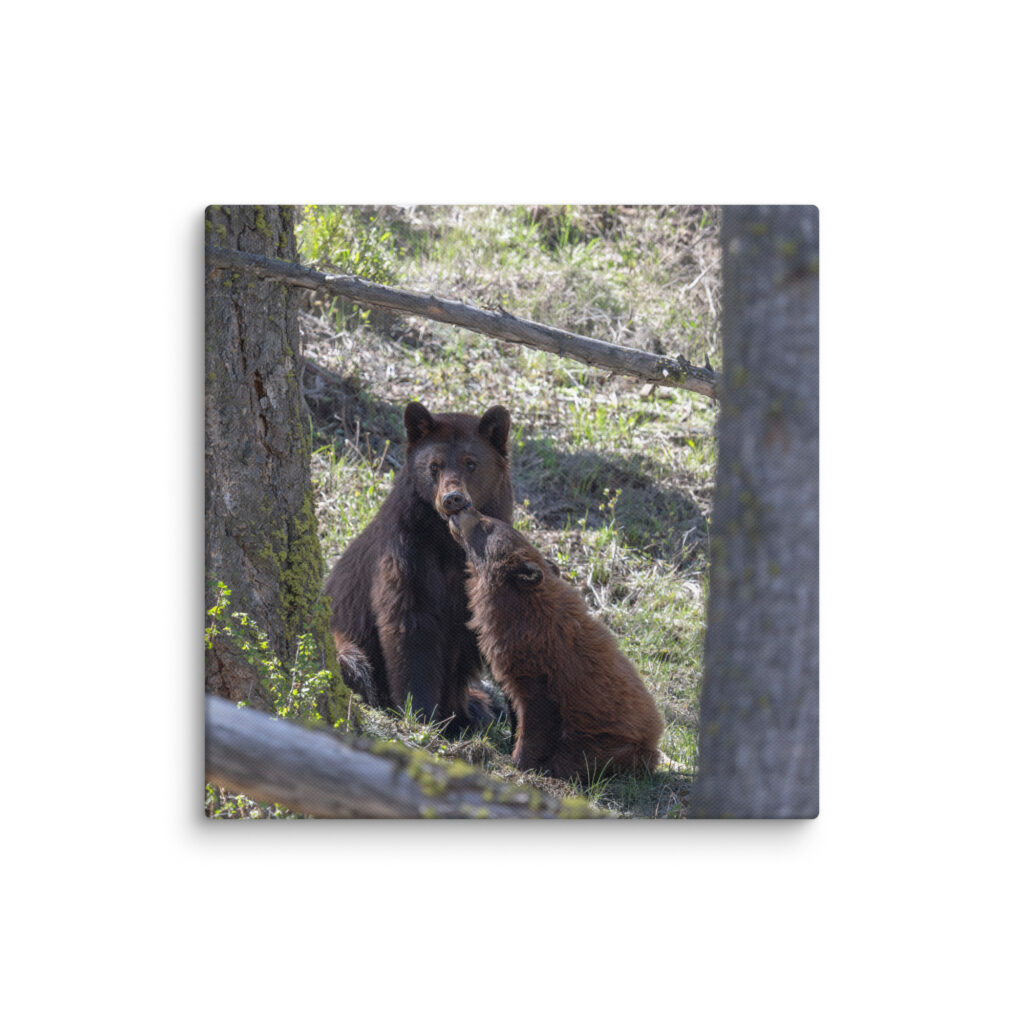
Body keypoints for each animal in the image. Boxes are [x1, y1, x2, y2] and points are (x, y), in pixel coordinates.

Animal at [324, 401, 514, 735]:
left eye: (471, 463)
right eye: (434, 466)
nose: (453, 498)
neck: (449, 542)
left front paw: (460, 713)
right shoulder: (406, 552)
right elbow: (409, 625)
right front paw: (422, 712)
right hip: (343, 639)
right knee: (354, 662)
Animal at [447, 504, 664, 780]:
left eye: (486, 524)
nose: (464, 507)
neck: (521, 608)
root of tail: (654, 742)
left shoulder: (539, 668)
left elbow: (536, 715)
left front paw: (520, 760)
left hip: (611, 745)